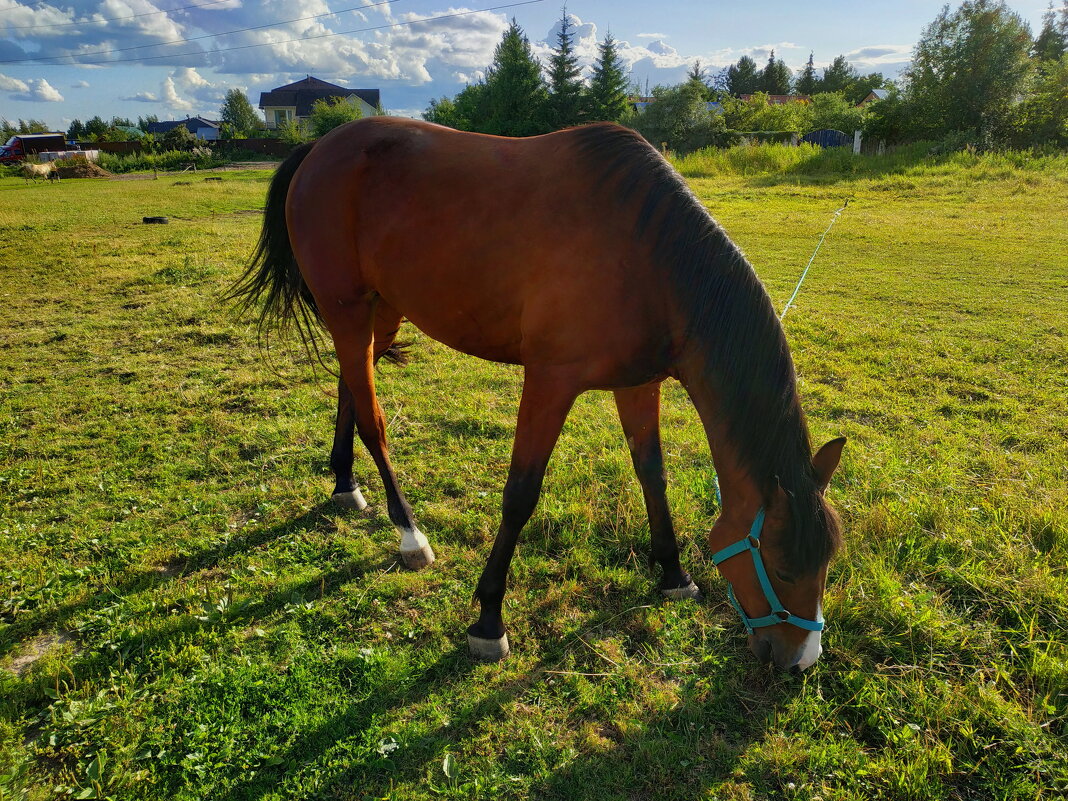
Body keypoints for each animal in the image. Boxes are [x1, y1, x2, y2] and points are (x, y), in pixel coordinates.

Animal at [229, 117, 845, 670]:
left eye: (827, 562)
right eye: (783, 567)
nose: (801, 661)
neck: (646, 254)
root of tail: (320, 149)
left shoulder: (637, 383)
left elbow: (652, 472)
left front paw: (672, 572)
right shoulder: (550, 381)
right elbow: (521, 493)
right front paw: (488, 620)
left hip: (380, 312)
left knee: (350, 389)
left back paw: (344, 482)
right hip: (349, 310)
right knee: (373, 419)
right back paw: (409, 534)